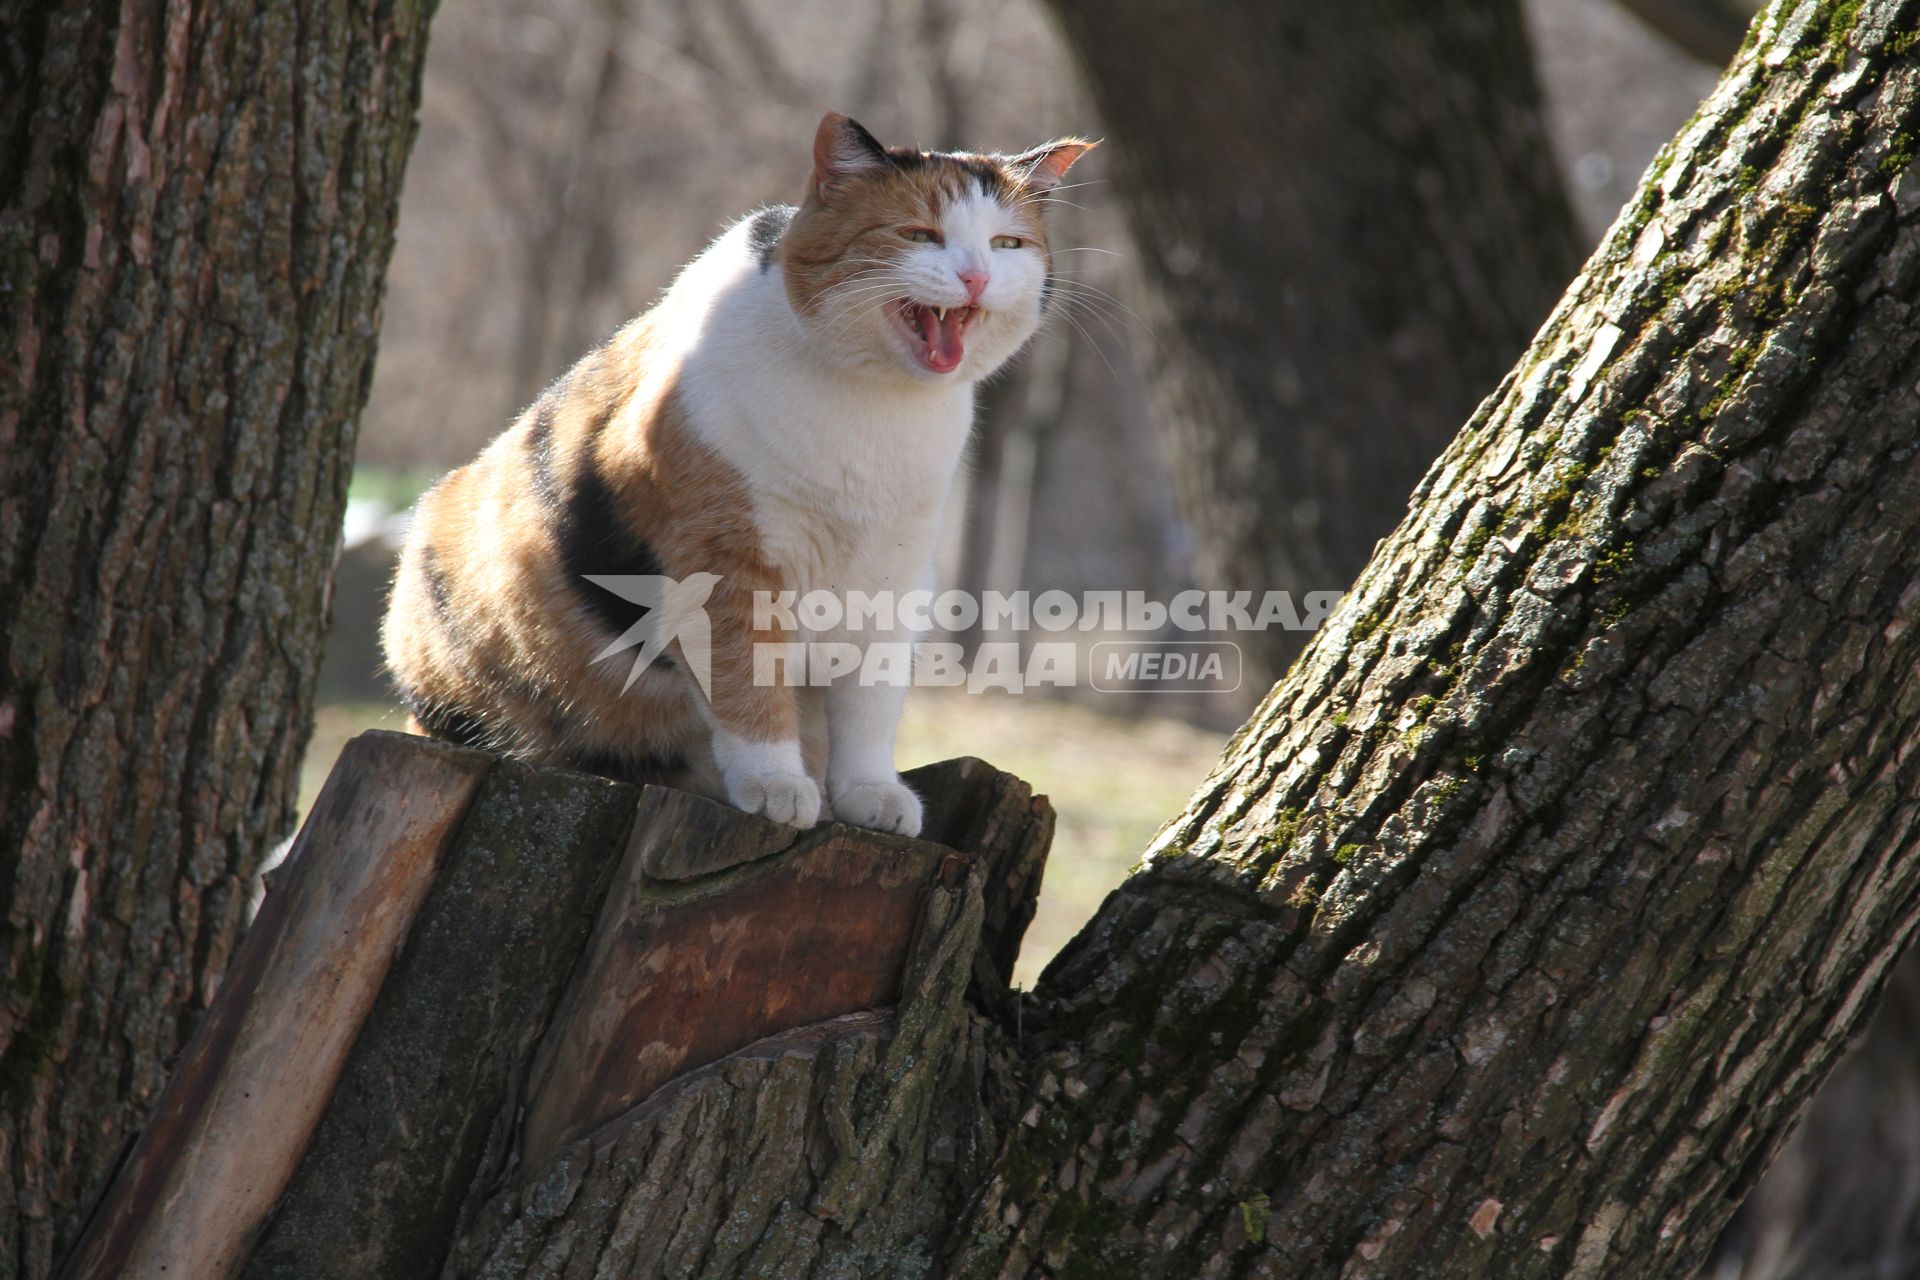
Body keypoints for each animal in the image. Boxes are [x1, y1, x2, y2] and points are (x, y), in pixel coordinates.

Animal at [382, 115, 1098, 840]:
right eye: (920, 235)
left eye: (1007, 244)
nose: (977, 276)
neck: (874, 412)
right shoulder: (720, 557)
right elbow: (747, 673)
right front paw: (776, 783)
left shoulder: (896, 575)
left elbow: (871, 698)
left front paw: (870, 791)